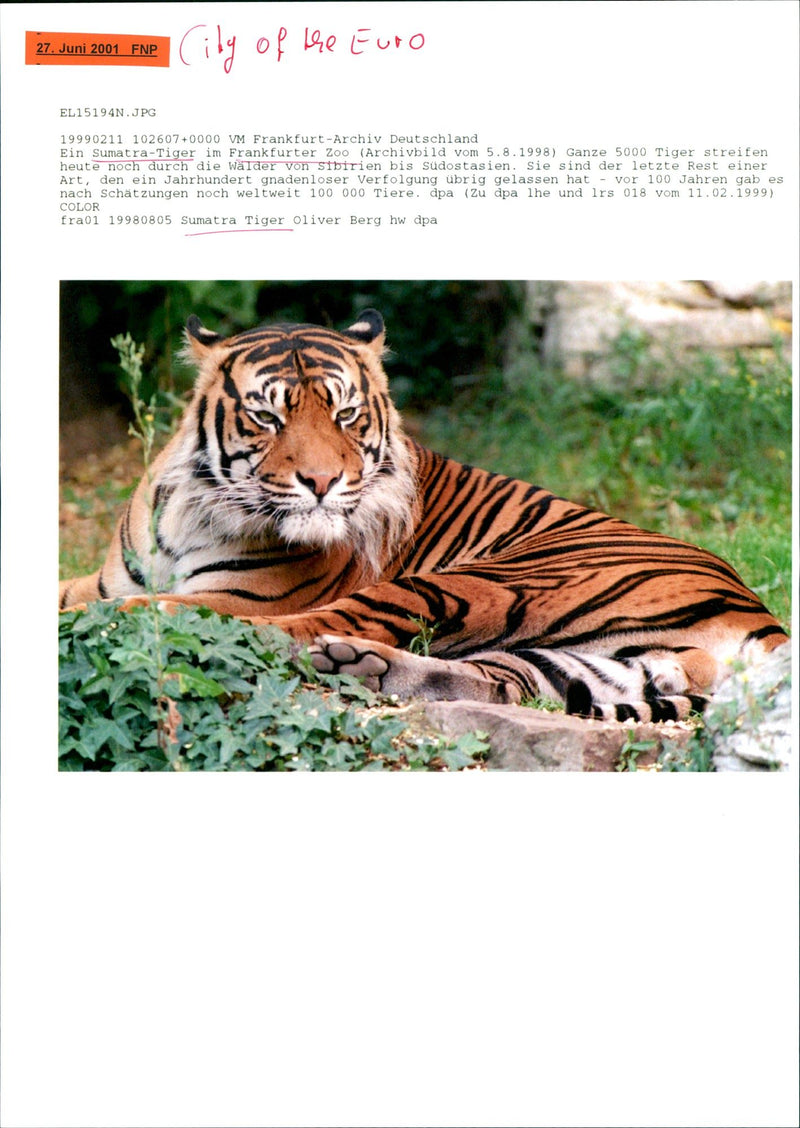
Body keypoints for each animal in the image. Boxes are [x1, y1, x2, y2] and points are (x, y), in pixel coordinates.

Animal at [59, 309, 788, 722]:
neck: (191, 513)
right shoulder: (99, 578)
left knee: (285, 629)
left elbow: (202, 608)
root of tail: (759, 615)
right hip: (600, 662)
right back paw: (363, 667)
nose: (321, 482)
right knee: (505, 684)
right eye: (268, 417)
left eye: (346, 413)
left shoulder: (249, 592)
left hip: (491, 580)